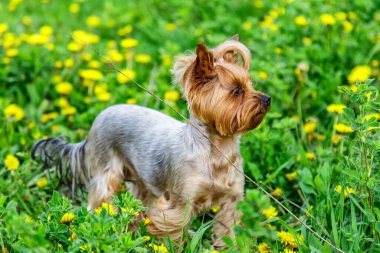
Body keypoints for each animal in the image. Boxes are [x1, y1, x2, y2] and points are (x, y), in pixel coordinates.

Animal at [31, 35, 270, 249]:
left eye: (251, 85)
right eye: (237, 91)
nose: (267, 98)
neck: (218, 149)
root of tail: (98, 119)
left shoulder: (231, 201)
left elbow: (228, 232)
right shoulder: (180, 203)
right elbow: (175, 233)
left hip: (141, 181)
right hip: (108, 171)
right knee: (100, 200)